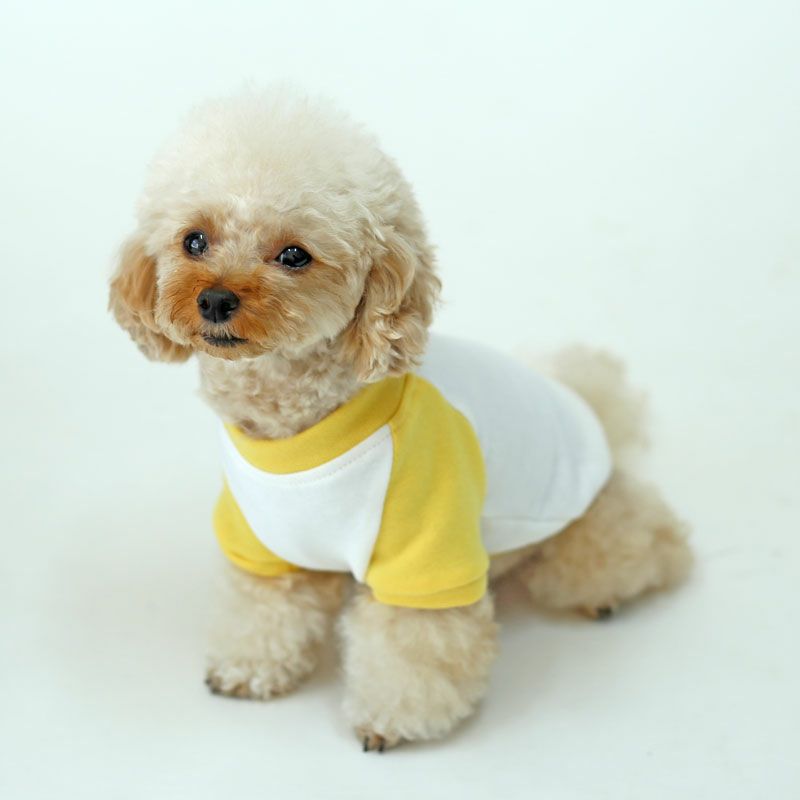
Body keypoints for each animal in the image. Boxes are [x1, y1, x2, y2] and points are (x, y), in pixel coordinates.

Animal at [109, 87, 692, 751]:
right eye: (194, 240)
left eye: (294, 255)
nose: (214, 299)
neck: (296, 429)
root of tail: (590, 408)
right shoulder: (264, 542)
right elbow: (263, 609)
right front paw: (250, 669)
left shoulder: (427, 551)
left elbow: (411, 645)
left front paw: (392, 720)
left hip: (584, 535)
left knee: (649, 543)